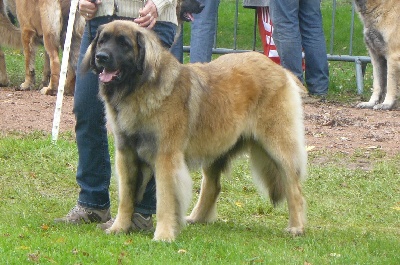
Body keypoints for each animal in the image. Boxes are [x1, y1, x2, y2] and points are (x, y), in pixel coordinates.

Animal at [81, 19, 306, 240]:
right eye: (102, 41)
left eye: (124, 43)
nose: (101, 57)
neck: (138, 89)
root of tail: (279, 68)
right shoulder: (126, 154)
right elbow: (125, 197)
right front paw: (118, 227)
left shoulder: (166, 156)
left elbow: (164, 199)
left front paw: (163, 234)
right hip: (216, 145)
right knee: (213, 186)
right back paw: (197, 217)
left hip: (279, 146)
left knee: (294, 188)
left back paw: (297, 227)